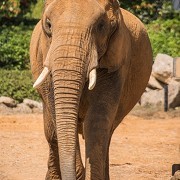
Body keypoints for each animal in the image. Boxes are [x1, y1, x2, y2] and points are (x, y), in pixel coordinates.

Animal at [29, 0, 152, 180]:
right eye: (49, 25)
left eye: (101, 26)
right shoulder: (45, 54)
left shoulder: (116, 62)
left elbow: (96, 122)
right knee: (51, 132)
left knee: (107, 133)